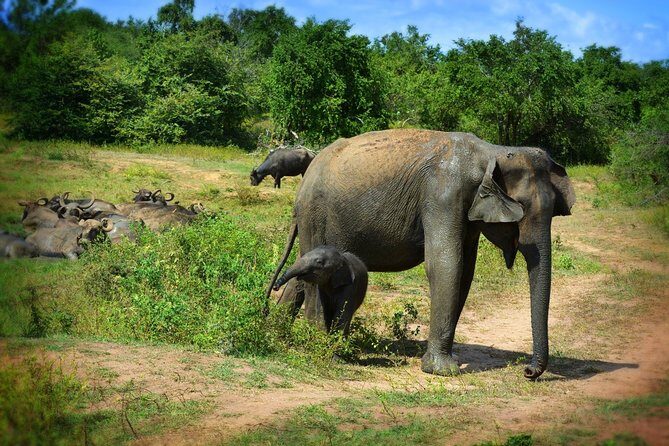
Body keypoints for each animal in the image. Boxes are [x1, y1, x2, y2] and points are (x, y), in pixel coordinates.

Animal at [267, 129, 575, 379]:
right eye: (521, 208)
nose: (528, 372)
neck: (492, 152)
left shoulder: (465, 210)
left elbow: (465, 271)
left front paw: (446, 363)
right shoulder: (444, 195)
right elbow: (446, 265)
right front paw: (442, 370)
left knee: (303, 272)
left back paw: (280, 333)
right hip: (314, 214)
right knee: (312, 276)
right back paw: (315, 343)